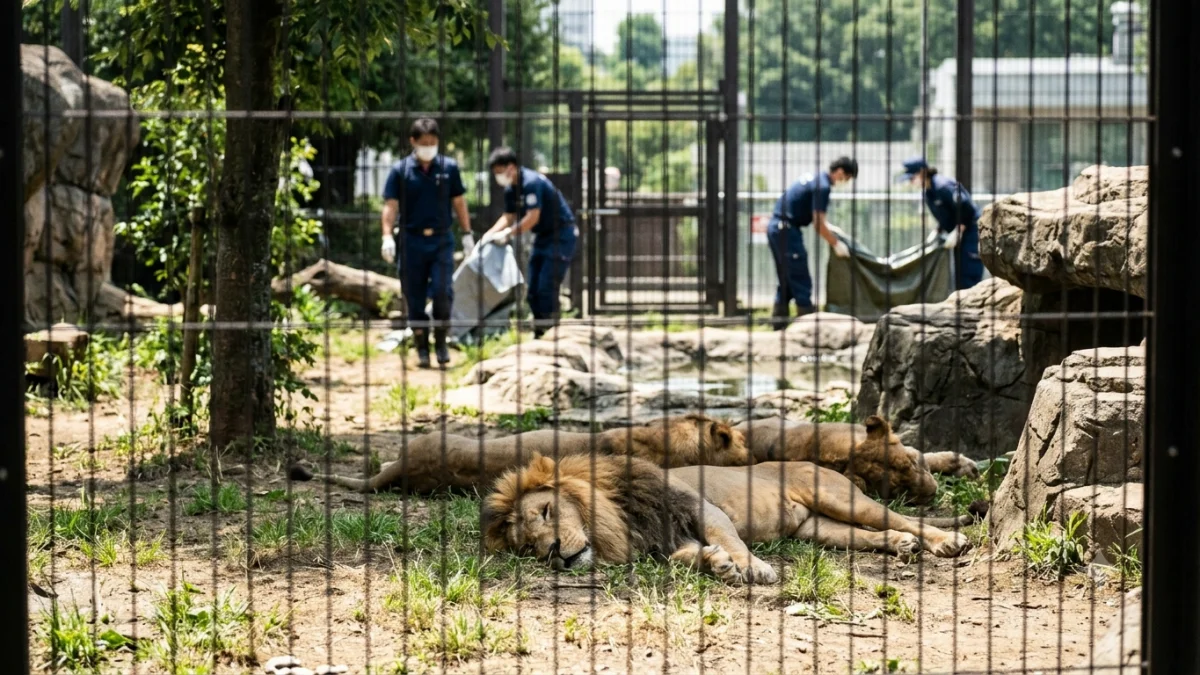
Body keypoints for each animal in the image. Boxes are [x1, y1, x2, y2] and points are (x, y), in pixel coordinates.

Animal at [482, 452, 973, 585]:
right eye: (528, 546)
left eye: (546, 511)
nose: (552, 553)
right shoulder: (667, 540)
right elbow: (684, 557)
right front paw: (717, 565)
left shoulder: (699, 507)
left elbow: (733, 539)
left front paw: (754, 568)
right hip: (821, 528)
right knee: (871, 535)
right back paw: (899, 546)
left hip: (839, 498)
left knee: (903, 517)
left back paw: (945, 541)